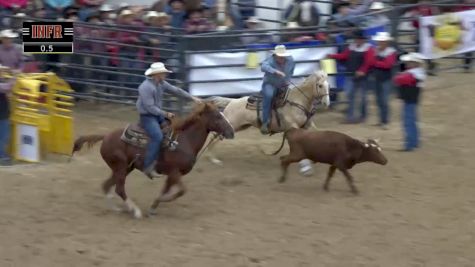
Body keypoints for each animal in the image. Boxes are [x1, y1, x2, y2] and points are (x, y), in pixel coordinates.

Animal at [70, 103, 234, 220]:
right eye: (217, 117)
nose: (231, 131)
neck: (183, 141)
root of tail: (105, 136)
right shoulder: (175, 172)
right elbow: (181, 191)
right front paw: (161, 200)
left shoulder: (171, 175)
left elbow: (166, 190)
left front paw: (154, 206)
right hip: (121, 167)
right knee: (119, 189)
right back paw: (135, 211)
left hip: (124, 168)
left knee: (107, 185)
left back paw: (117, 208)